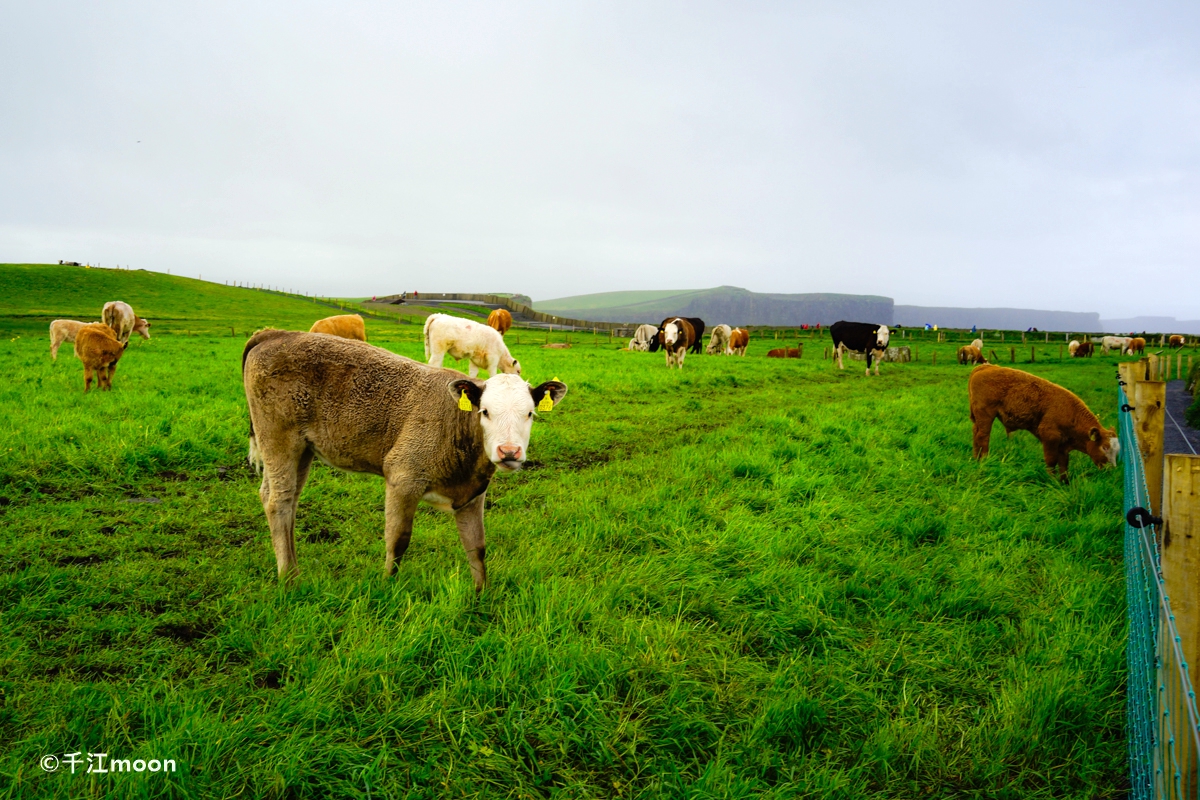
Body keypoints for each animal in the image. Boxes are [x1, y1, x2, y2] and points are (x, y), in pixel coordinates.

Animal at [243, 328, 566, 592]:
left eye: (530, 413)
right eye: (484, 412)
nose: (509, 452)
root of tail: (276, 333)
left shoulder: (472, 494)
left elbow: (477, 547)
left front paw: (480, 596)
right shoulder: (403, 477)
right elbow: (398, 540)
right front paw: (387, 587)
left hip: (304, 449)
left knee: (286, 500)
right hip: (279, 438)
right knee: (278, 500)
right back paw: (289, 577)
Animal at [964, 367, 1113, 484]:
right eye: (1104, 447)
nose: (1110, 468)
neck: (1072, 412)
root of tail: (985, 367)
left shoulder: (1063, 446)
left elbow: (1064, 464)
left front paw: (1064, 482)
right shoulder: (1050, 437)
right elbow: (1051, 461)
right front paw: (1051, 480)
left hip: (978, 419)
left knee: (976, 434)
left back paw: (975, 458)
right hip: (986, 416)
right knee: (983, 437)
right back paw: (984, 460)